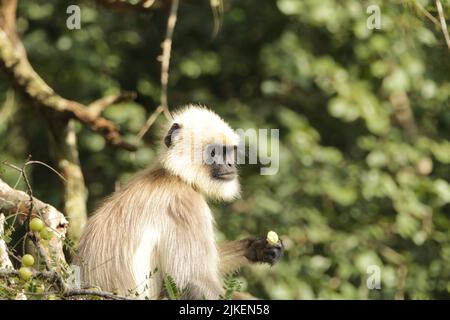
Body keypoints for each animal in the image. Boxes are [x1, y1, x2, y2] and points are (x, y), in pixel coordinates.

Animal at [75, 104, 284, 298]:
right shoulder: (184, 205)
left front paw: (257, 248)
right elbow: (194, 281)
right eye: (215, 152)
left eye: (228, 152)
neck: (176, 177)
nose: (230, 164)